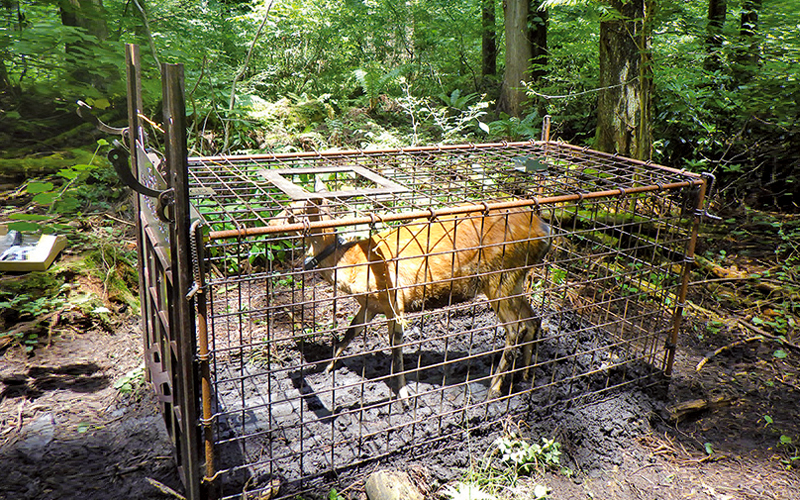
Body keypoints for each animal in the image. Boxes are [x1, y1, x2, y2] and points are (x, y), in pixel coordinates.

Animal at [270, 197, 552, 400]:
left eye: (290, 211)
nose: (271, 224)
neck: (348, 261)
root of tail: (545, 229)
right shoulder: (370, 304)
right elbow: (350, 332)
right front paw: (329, 368)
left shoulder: (394, 300)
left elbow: (395, 348)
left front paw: (404, 395)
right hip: (515, 279)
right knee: (533, 319)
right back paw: (526, 376)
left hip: (498, 277)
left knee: (516, 327)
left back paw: (494, 389)